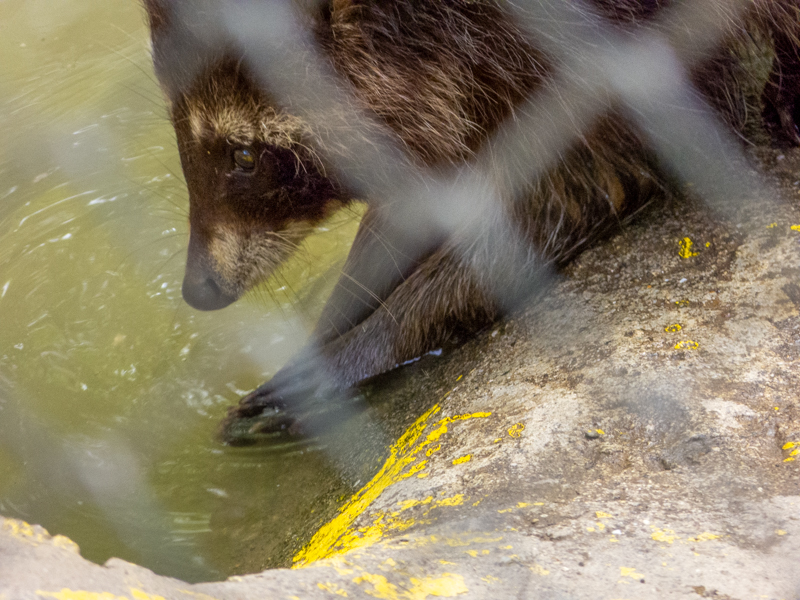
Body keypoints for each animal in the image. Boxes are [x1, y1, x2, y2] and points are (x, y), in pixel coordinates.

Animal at [143, 0, 800, 435]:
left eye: (244, 157)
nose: (198, 290)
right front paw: (341, 314)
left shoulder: (611, 38)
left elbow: (575, 191)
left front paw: (376, 339)